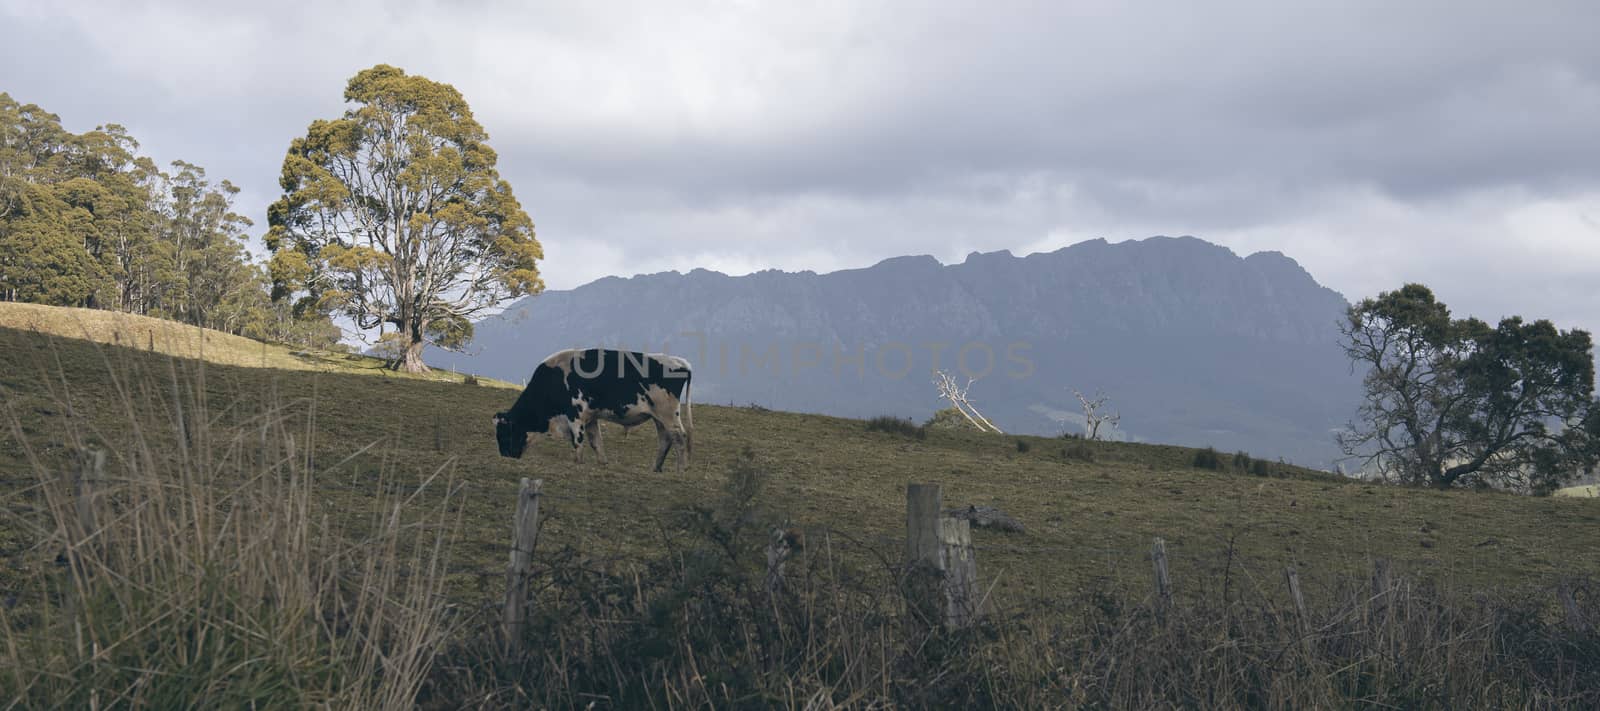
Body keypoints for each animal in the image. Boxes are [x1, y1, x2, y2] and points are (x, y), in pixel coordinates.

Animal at [492, 345, 694, 470]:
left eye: (506, 433)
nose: (505, 455)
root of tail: (680, 361)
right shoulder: (590, 418)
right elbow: (596, 441)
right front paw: (602, 463)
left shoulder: (575, 415)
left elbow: (578, 441)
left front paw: (577, 462)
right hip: (658, 417)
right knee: (665, 439)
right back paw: (656, 468)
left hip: (668, 414)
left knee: (680, 436)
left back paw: (682, 468)